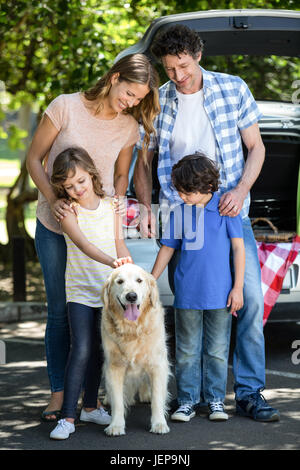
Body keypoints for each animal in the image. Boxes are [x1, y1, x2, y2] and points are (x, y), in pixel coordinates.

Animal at [101, 262, 170, 436]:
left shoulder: (157, 364)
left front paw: (159, 423)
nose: (131, 296)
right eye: (120, 282)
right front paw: (116, 425)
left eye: (139, 280)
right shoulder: (114, 366)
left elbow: (157, 398)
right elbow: (118, 400)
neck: (132, 329)